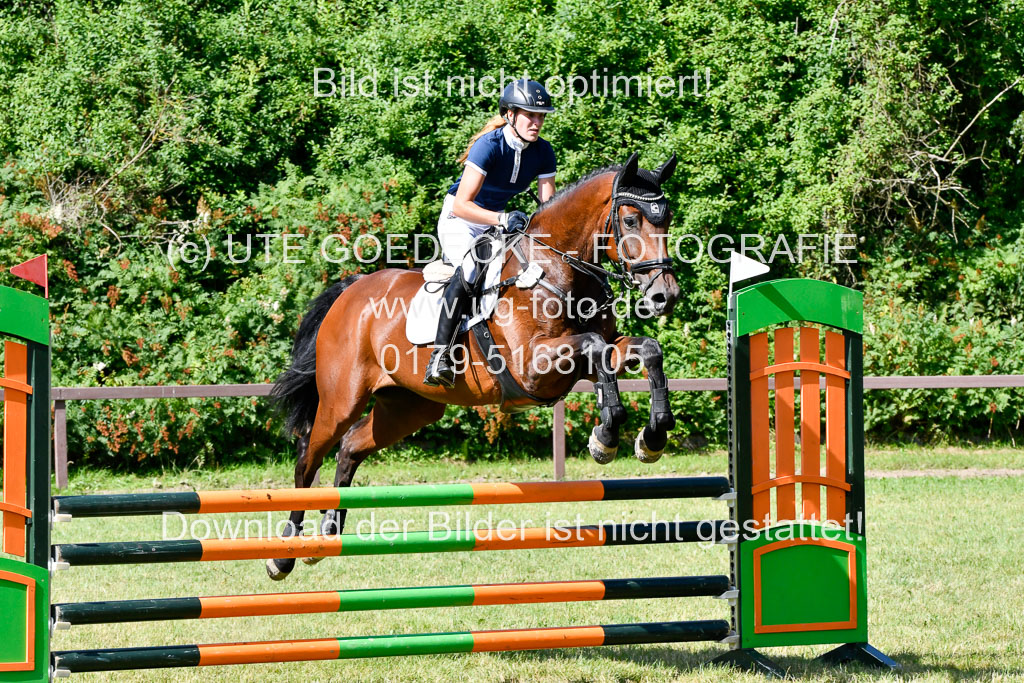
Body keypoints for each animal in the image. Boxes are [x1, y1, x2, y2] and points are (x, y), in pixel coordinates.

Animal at [266, 151, 681, 580]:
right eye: (630, 220)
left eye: (667, 218)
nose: (665, 295)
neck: (558, 270)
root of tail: (351, 289)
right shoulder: (533, 367)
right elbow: (596, 348)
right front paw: (607, 434)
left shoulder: (585, 358)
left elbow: (646, 350)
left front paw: (651, 437)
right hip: (342, 400)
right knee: (308, 456)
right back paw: (284, 553)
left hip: (408, 408)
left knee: (350, 446)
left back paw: (328, 532)